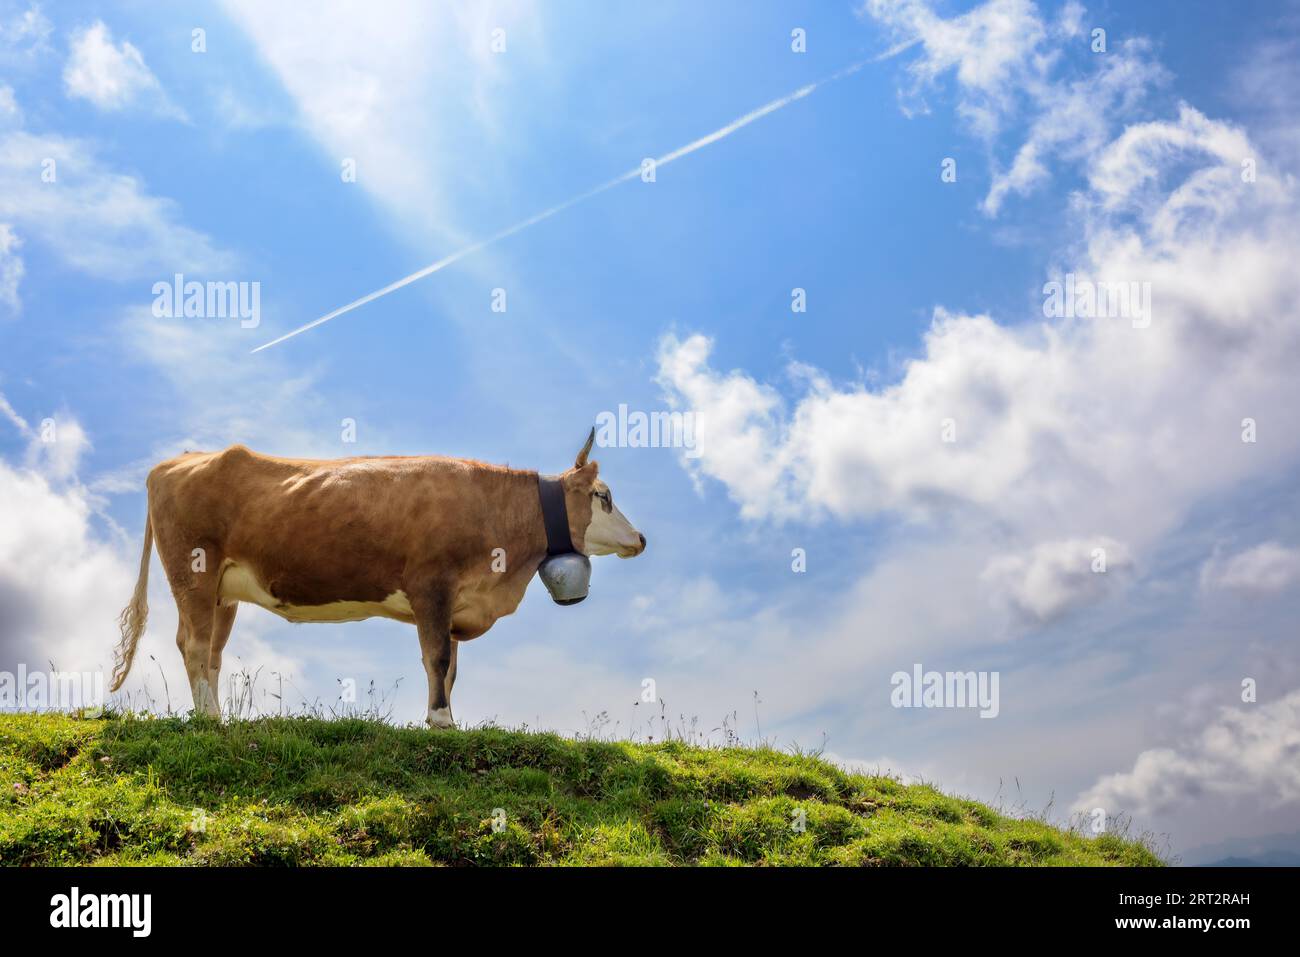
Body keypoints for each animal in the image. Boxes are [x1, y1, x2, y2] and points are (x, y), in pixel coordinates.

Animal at [106, 429, 644, 728]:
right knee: (193, 643)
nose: (640, 538)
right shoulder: (432, 587)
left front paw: (446, 715)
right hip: (192, 573)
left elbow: (451, 668)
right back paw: (211, 718)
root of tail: (178, 460)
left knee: (212, 652)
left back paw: (213, 713)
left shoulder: (457, 601)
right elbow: (437, 657)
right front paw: (441, 721)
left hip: (224, 592)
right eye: (603, 496)